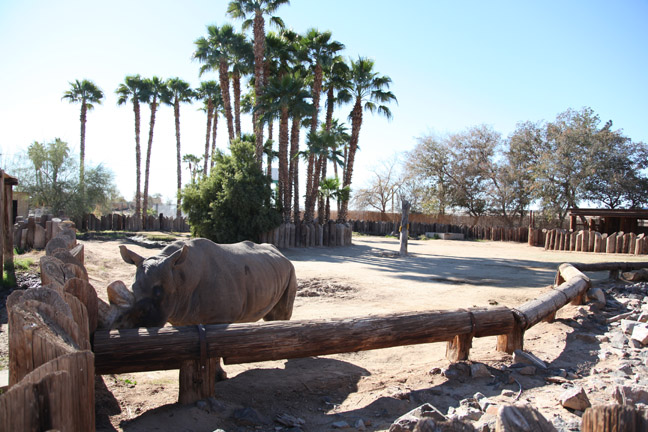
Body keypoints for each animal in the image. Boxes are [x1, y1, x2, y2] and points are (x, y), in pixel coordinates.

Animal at [112, 238, 297, 329]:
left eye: (159, 292)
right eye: (132, 289)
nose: (134, 325)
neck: (178, 275)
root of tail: (281, 253)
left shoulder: (220, 318)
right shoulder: (181, 314)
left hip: (291, 270)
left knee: (282, 314)